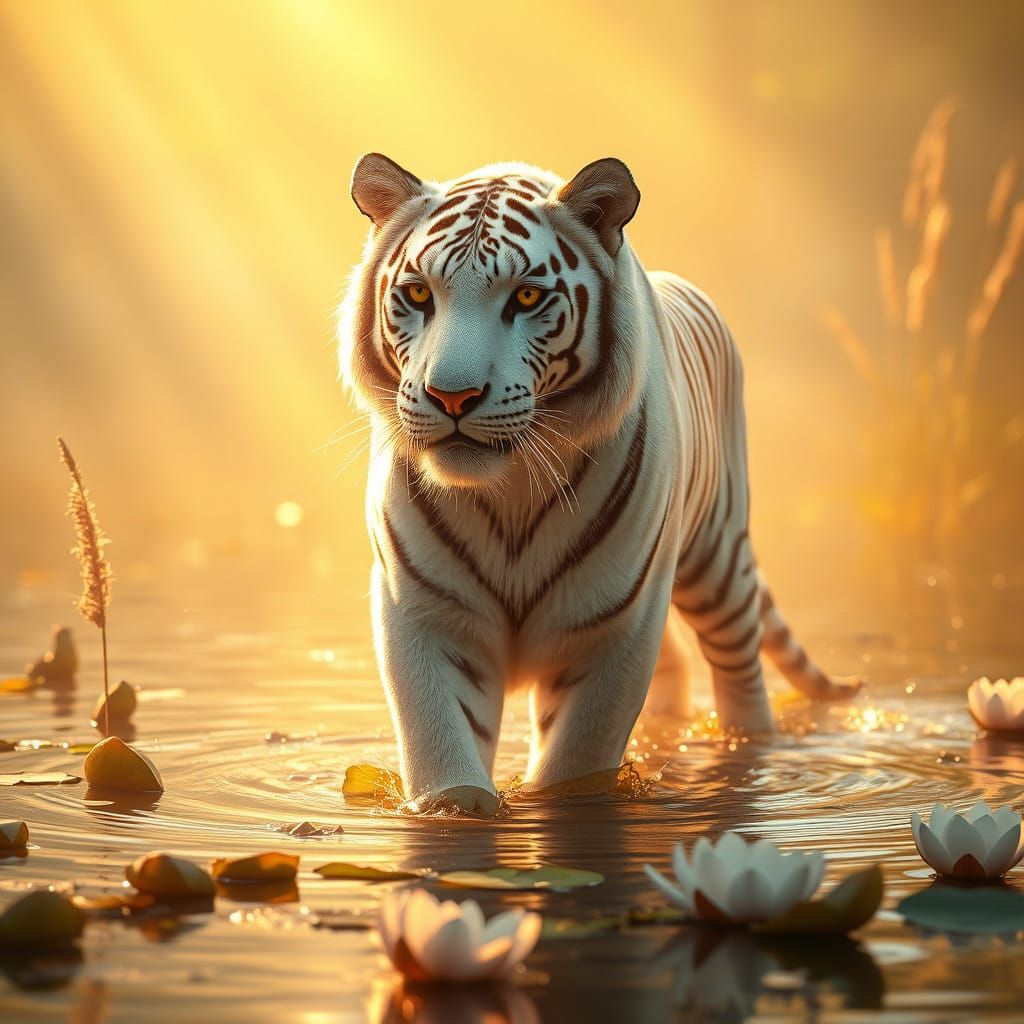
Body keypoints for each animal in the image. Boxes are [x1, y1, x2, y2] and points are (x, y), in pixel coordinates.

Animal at [337, 153, 860, 815]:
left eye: (527, 296)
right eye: (418, 294)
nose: (452, 397)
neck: (508, 489)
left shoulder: (616, 625)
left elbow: (577, 760)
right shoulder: (423, 611)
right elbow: (441, 744)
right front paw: (457, 807)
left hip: (717, 561)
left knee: (739, 669)